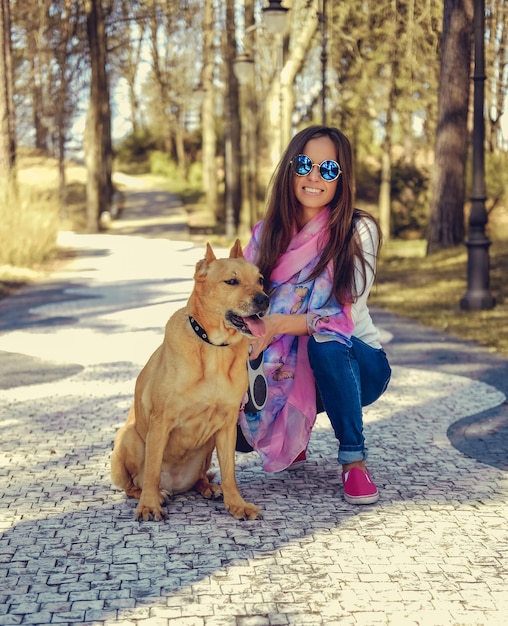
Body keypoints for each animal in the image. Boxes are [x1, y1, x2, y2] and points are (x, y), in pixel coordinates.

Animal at [111, 241, 270, 520]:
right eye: (231, 281)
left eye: (260, 280)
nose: (264, 299)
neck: (214, 348)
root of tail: (176, 484)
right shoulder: (161, 421)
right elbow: (152, 470)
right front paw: (149, 505)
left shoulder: (227, 425)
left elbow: (230, 473)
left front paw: (236, 503)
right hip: (129, 438)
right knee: (136, 484)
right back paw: (154, 495)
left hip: (208, 445)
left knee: (200, 478)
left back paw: (209, 488)